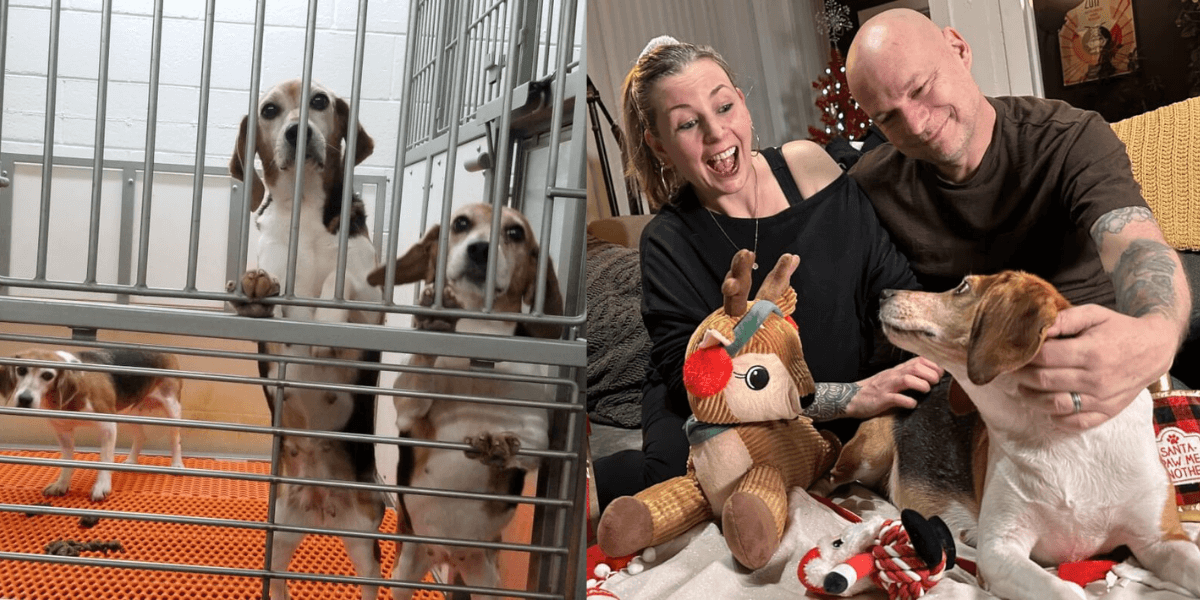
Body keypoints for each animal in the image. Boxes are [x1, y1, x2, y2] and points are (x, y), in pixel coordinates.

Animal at [1, 350, 183, 504]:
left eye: (47, 375)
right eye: (21, 370)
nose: (24, 399)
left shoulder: (108, 427)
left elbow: (105, 459)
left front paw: (101, 486)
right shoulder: (62, 431)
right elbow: (67, 460)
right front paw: (62, 484)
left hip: (172, 410)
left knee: (175, 440)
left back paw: (177, 465)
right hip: (129, 412)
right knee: (140, 436)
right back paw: (132, 460)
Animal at [367, 204, 564, 597]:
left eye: (515, 233)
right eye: (461, 223)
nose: (480, 250)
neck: (478, 340)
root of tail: (448, 555)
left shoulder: (538, 431)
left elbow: (526, 444)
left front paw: (499, 444)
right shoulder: (408, 411)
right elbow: (418, 380)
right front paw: (433, 322)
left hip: (489, 580)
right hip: (406, 568)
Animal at [825, 271, 1200, 600]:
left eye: (962, 287)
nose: (883, 294)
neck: (1061, 439)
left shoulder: (1161, 539)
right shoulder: (1001, 549)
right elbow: (1064, 591)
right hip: (866, 455)